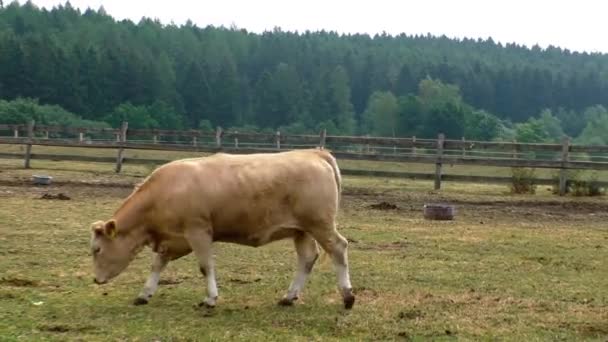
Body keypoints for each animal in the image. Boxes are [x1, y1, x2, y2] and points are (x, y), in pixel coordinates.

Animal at [91, 148, 356, 308]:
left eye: (97, 249)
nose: (96, 279)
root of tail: (314, 153)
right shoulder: (173, 240)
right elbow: (157, 265)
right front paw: (144, 294)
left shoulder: (198, 231)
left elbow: (205, 266)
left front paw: (210, 298)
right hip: (301, 230)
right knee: (307, 258)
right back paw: (289, 297)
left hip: (320, 224)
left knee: (339, 248)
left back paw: (348, 296)